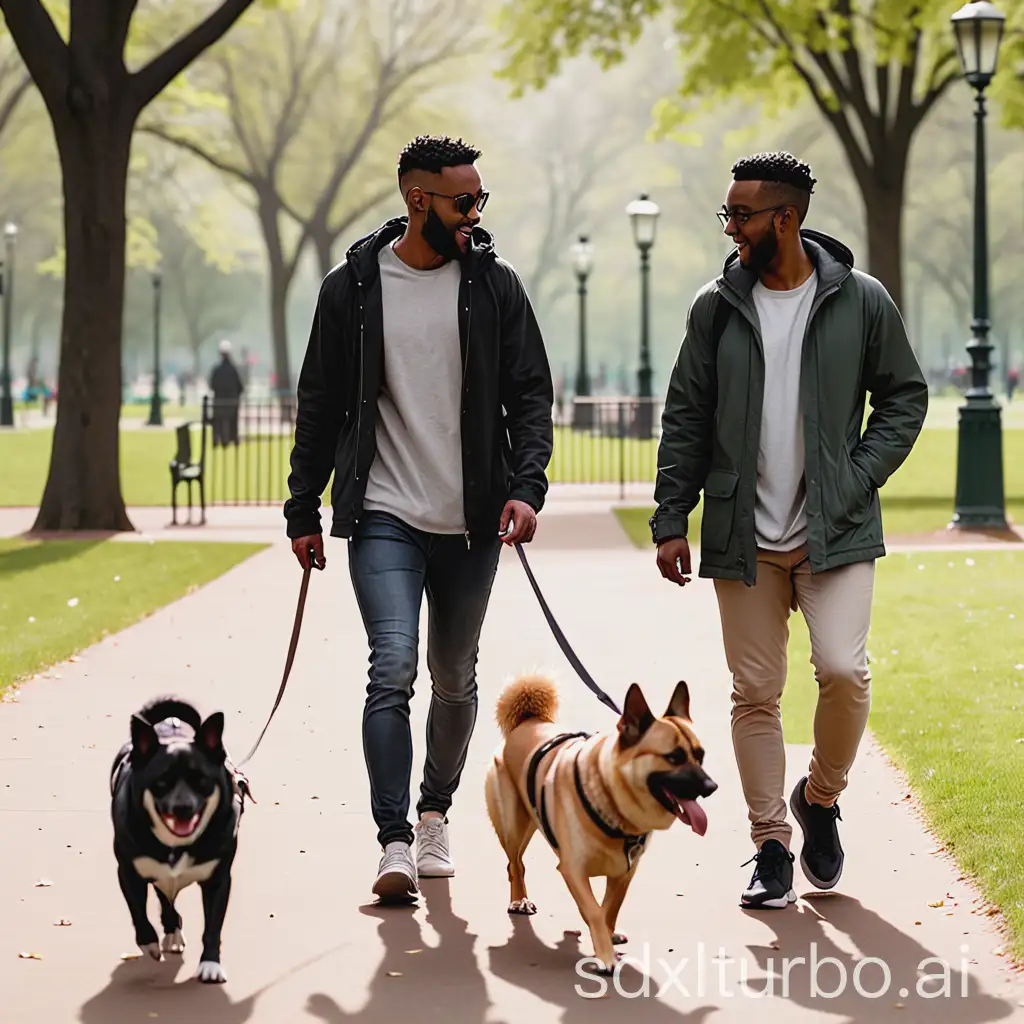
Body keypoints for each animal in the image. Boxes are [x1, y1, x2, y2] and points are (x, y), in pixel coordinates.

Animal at [109, 696, 250, 983]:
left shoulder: (218, 879)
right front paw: (149, 942)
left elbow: (213, 925)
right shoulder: (129, 872)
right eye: (161, 782)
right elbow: (138, 911)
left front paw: (210, 964)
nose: (182, 807)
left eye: (202, 780)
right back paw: (171, 931)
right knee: (164, 897)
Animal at [483, 675, 716, 970]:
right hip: (514, 825)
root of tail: (528, 721)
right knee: (515, 864)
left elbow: (609, 909)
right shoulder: (573, 870)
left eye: (701, 755)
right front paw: (605, 955)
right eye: (674, 757)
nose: (712, 787)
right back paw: (519, 900)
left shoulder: (625, 872)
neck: (610, 797)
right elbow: (594, 911)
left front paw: (606, 936)